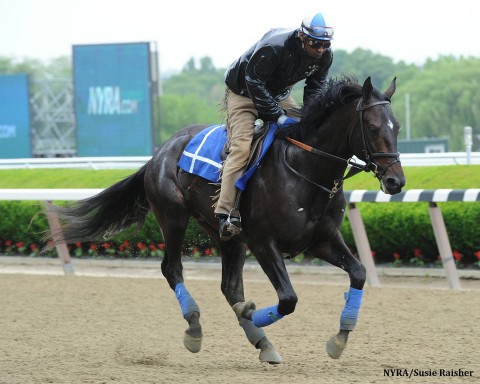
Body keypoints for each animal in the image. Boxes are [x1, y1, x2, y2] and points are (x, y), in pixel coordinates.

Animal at [45, 76, 404, 366]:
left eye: (397, 127)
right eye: (373, 128)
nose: (395, 181)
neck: (305, 168)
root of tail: (160, 151)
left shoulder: (321, 240)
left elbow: (358, 273)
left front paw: (339, 338)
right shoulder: (264, 242)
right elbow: (288, 299)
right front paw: (251, 312)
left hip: (229, 235)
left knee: (230, 286)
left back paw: (262, 342)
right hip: (173, 217)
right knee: (172, 269)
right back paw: (195, 327)